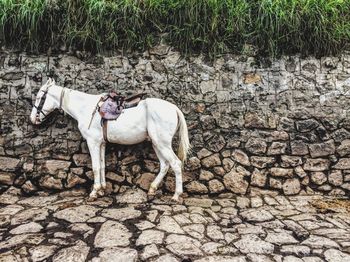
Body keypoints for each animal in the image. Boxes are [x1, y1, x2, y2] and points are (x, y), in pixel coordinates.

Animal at [30, 79, 191, 202]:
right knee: (165, 165)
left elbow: (95, 167)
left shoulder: (93, 143)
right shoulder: (101, 143)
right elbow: (101, 166)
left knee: (176, 164)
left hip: (162, 144)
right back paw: (152, 189)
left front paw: (94, 192)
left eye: (39, 97)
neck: (85, 108)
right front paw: (102, 190)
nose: (32, 119)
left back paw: (176, 196)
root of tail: (174, 108)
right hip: (157, 143)